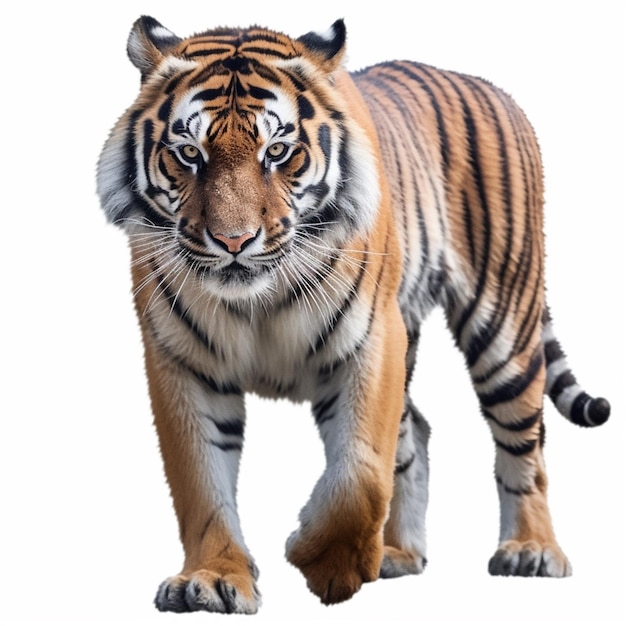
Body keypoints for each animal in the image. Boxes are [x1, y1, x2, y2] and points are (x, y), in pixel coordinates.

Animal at [95, 15, 608, 616]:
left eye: (278, 151)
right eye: (189, 153)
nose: (234, 241)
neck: (257, 300)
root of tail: (491, 88)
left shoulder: (372, 339)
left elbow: (361, 470)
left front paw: (328, 563)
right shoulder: (181, 360)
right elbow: (200, 481)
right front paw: (212, 579)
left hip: (505, 322)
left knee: (524, 443)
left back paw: (531, 549)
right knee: (419, 430)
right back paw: (398, 553)